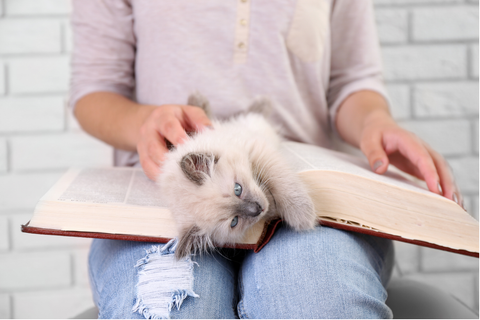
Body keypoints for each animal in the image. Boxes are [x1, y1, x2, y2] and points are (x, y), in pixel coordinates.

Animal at [158, 92, 318, 260]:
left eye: (237, 189)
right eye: (234, 221)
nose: (257, 209)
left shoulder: (255, 148)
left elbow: (283, 182)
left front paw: (303, 216)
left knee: (253, 114)